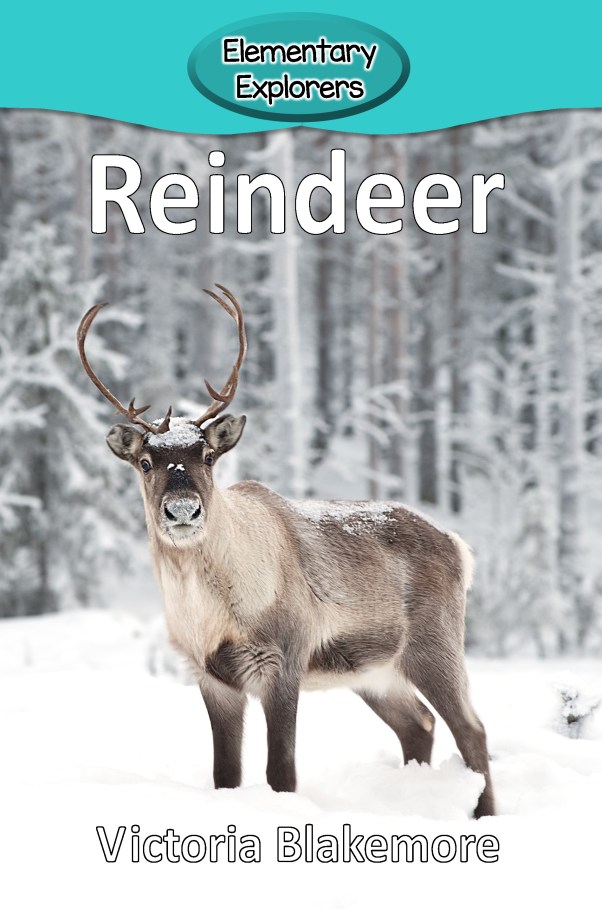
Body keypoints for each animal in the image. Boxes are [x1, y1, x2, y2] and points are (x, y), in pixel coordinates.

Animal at [77, 284, 495, 818]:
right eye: (146, 462)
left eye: (208, 456)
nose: (183, 510)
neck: (210, 612)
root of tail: (458, 546)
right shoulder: (212, 677)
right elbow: (225, 775)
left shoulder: (282, 661)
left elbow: (282, 773)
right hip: (375, 672)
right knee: (419, 724)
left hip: (434, 645)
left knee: (472, 729)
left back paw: (482, 813)